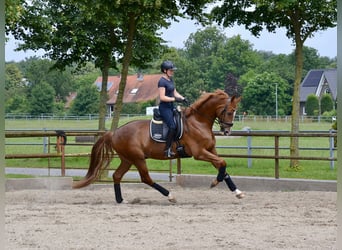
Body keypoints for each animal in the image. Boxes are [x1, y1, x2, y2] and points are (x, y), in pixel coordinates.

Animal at [73, 90, 243, 203]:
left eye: (235, 112)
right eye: (229, 112)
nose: (227, 131)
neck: (198, 122)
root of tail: (115, 132)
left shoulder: (210, 150)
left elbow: (223, 167)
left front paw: (237, 192)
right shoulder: (199, 153)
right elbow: (223, 163)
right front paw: (215, 182)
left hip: (127, 159)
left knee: (117, 176)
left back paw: (121, 200)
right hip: (137, 158)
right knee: (146, 178)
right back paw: (170, 196)